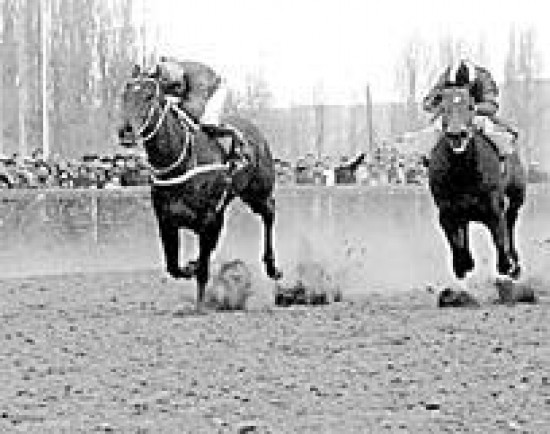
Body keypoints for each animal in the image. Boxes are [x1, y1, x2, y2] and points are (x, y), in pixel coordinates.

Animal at [118, 66, 282, 312]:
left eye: (148, 96)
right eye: (124, 95)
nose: (125, 131)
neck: (180, 160)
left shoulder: (207, 219)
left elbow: (203, 269)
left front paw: (200, 305)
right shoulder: (166, 220)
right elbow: (173, 266)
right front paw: (190, 267)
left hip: (258, 193)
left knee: (269, 214)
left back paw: (272, 267)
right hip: (224, 207)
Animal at [430, 87, 528, 284]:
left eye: (470, 106)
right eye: (443, 107)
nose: (456, 133)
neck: (462, 171)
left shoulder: (494, 208)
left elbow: (500, 240)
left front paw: (508, 265)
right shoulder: (446, 210)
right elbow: (456, 242)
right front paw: (463, 265)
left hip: (517, 196)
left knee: (510, 222)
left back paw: (515, 263)